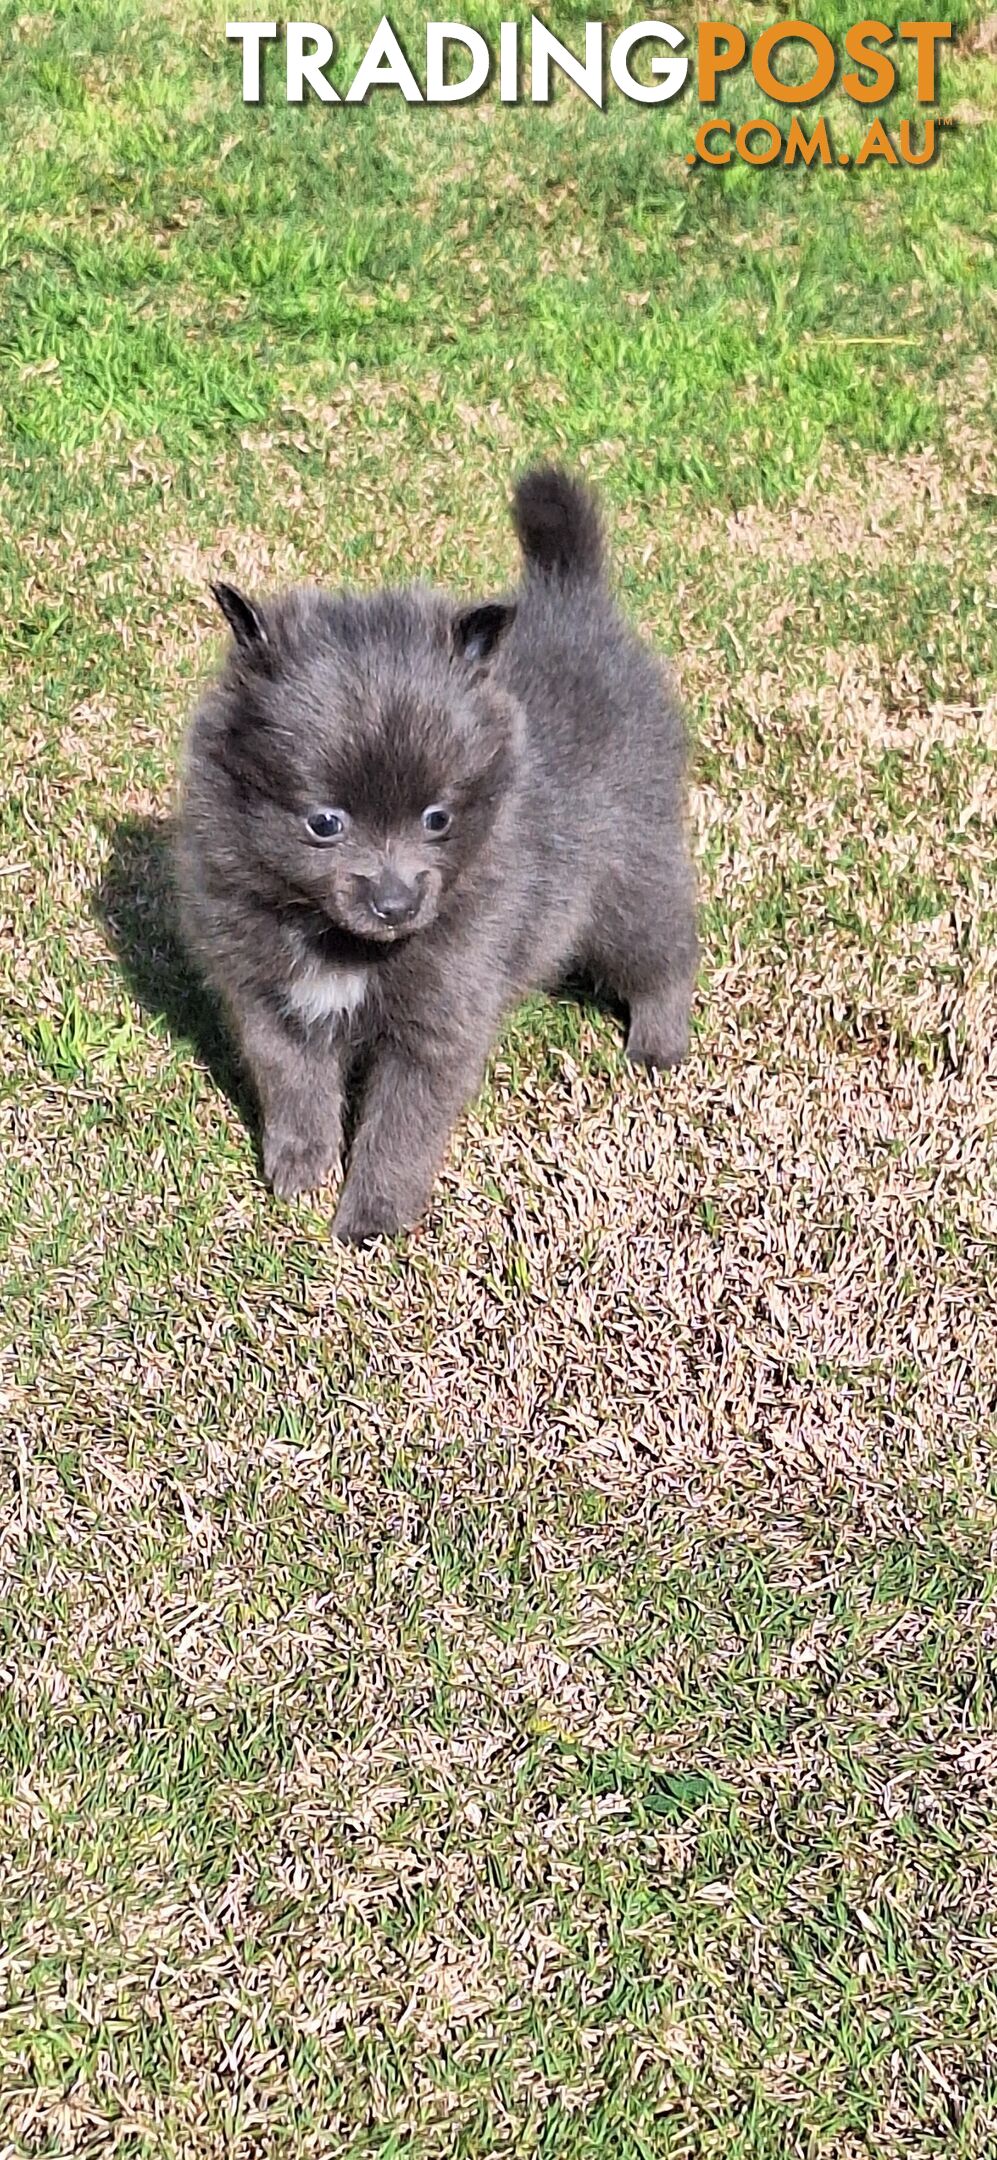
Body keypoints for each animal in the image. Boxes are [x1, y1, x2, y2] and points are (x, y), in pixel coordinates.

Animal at [174, 468, 699, 1252]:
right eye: (324, 823)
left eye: (436, 819)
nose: (395, 903)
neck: (343, 945)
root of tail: (572, 596)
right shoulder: (270, 999)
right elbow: (294, 1087)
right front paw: (300, 1169)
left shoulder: (438, 1021)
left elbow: (399, 1131)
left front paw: (371, 1219)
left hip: (627, 873)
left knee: (664, 950)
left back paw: (657, 1047)